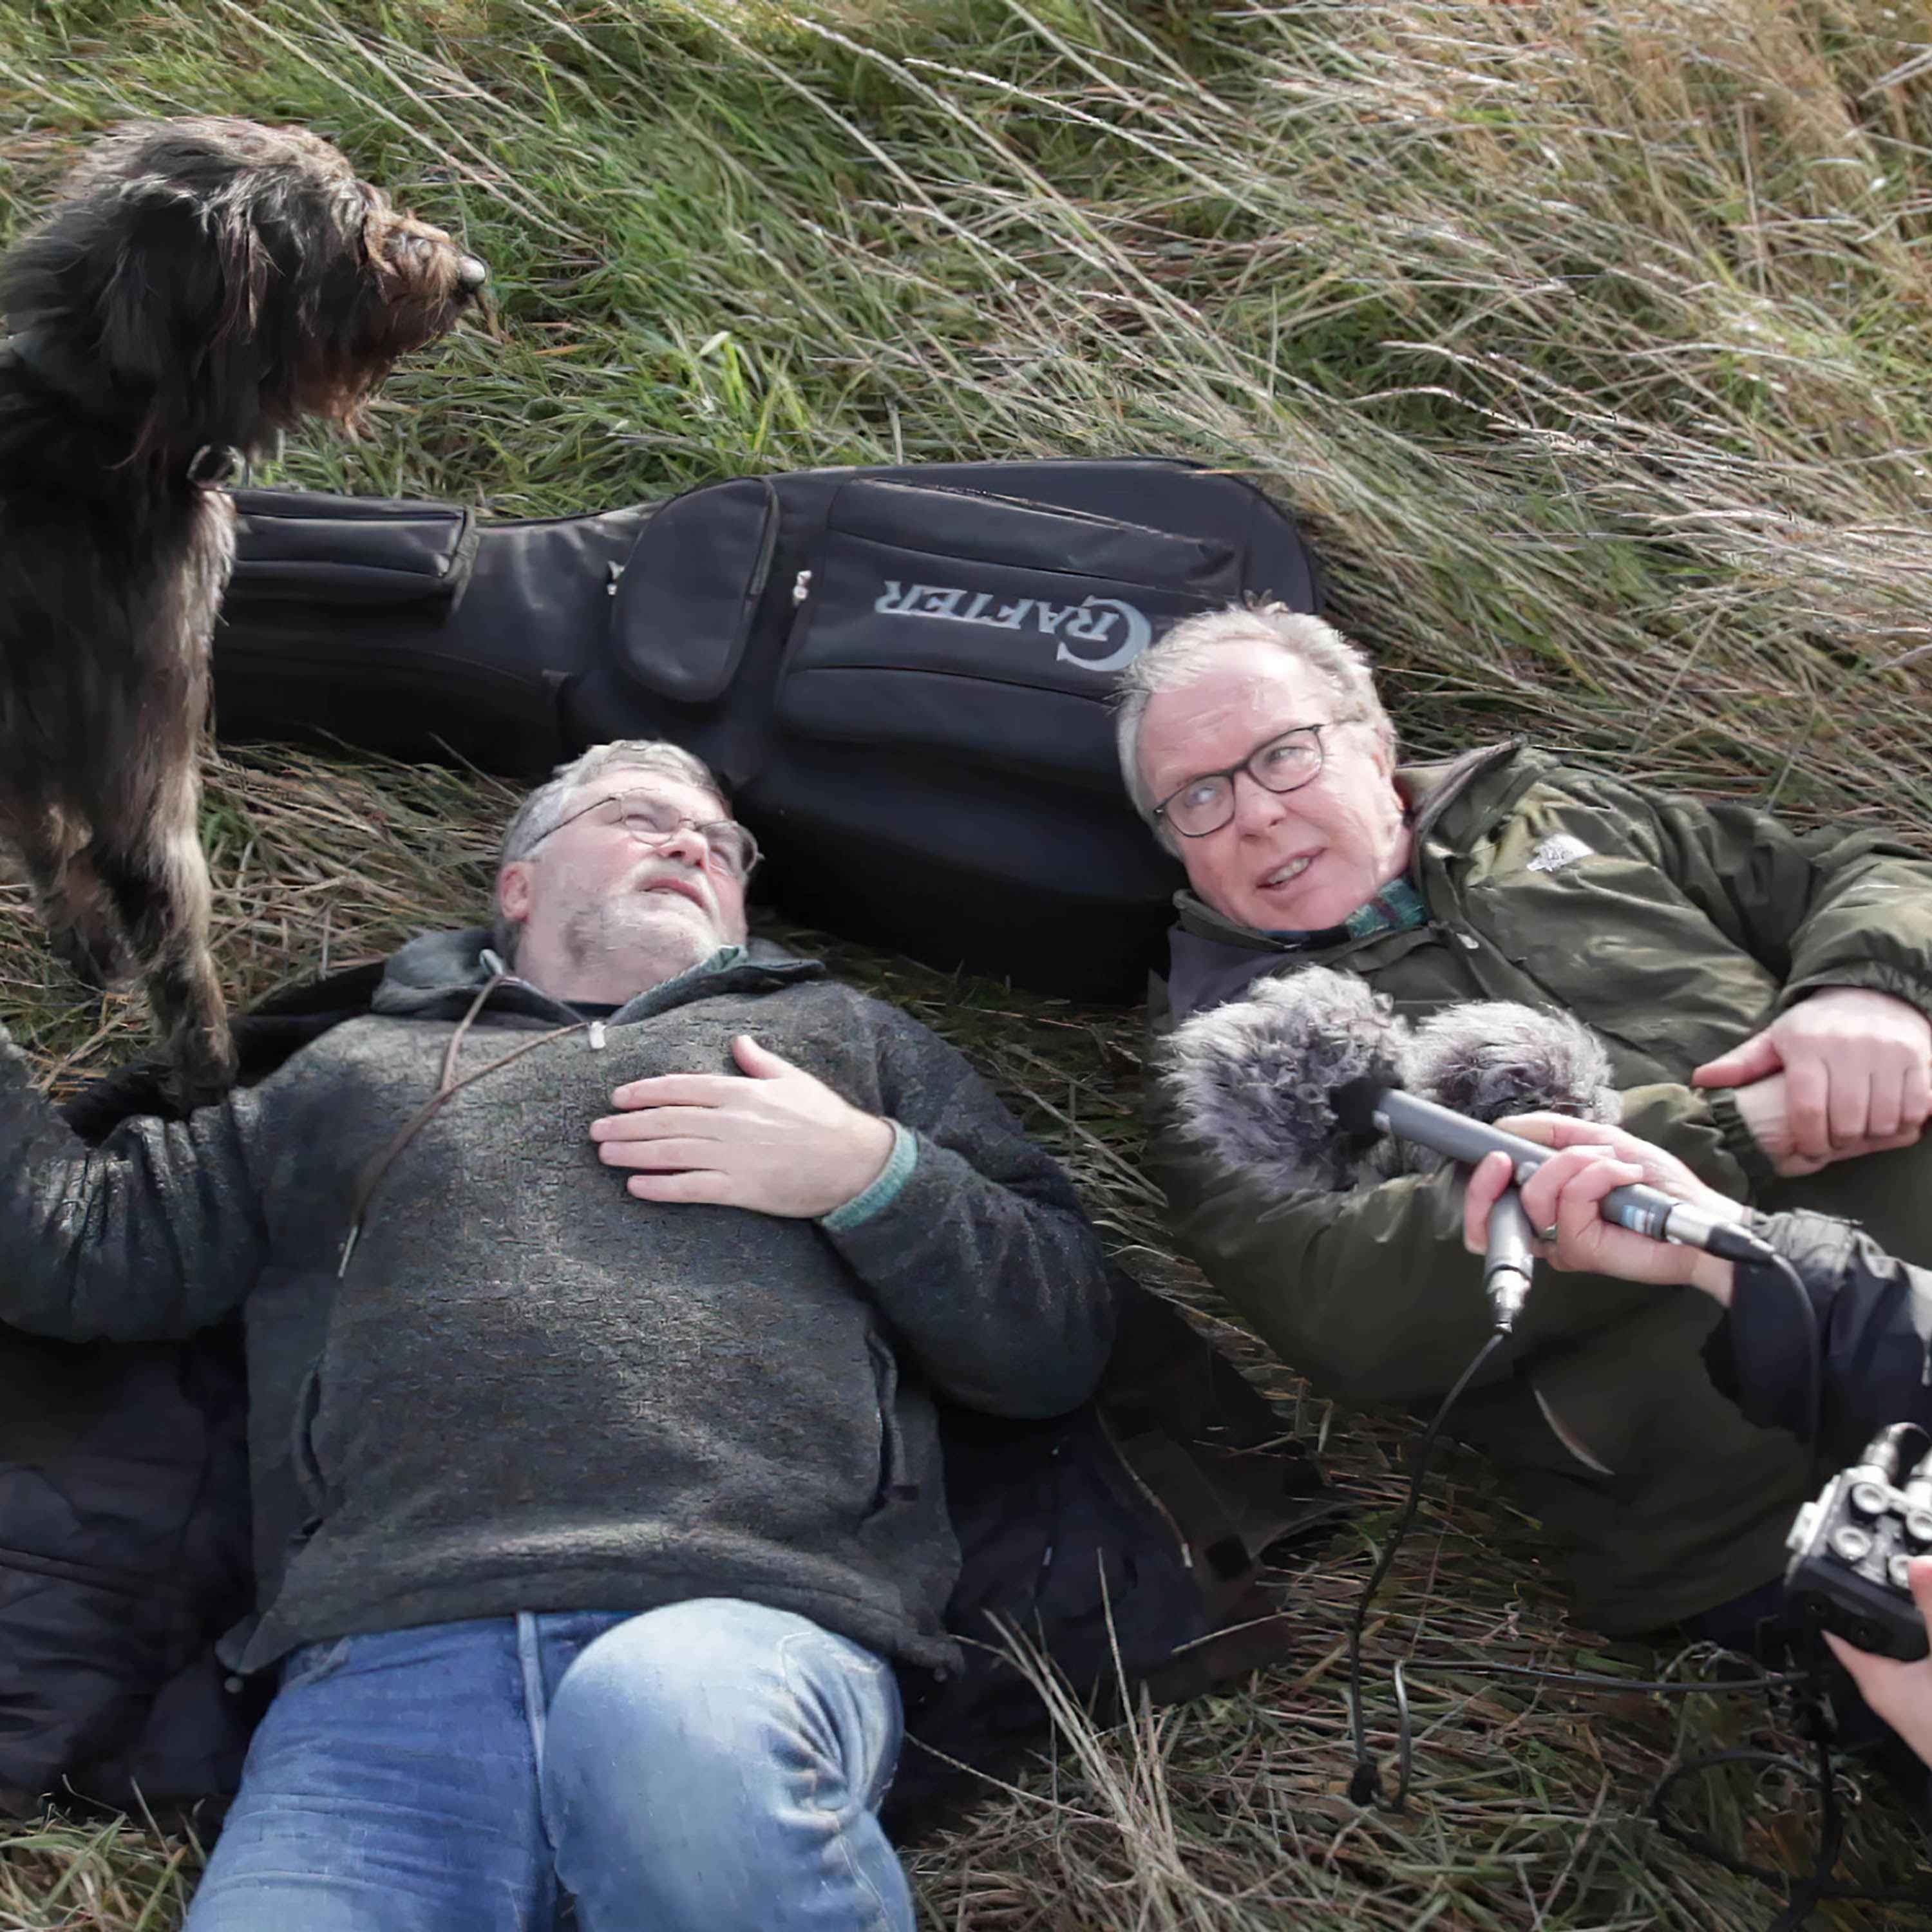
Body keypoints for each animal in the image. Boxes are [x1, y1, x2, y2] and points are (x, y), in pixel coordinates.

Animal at [0, 120, 487, 1105]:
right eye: (350, 225)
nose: (473, 273)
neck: (91, 421)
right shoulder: (143, 783)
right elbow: (183, 972)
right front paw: (214, 1093)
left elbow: (44, 845)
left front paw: (85, 951)